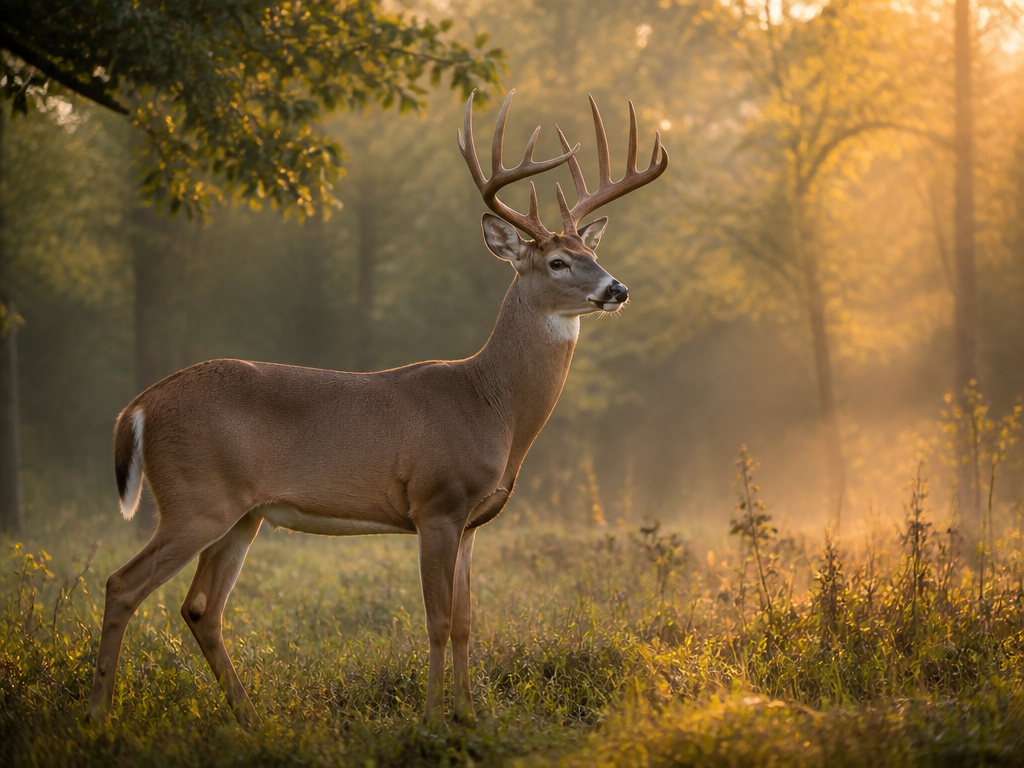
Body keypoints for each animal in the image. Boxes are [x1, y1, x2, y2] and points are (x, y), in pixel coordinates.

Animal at [87, 89, 668, 727]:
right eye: (558, 262)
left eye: (591, 250)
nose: (617, 289)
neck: (491, 404)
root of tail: (139, 406)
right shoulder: (435, 503)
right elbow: (437, 621)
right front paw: (432, 719)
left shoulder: (471, 522)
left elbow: (466, 623)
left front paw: (470, 716)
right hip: (195, 501)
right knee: (122, 584)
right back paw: (98, 715)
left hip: (243, 513)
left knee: (200, 607)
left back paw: (251, 717)